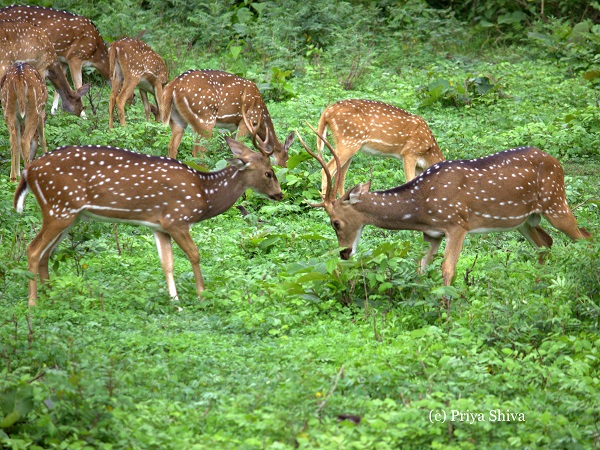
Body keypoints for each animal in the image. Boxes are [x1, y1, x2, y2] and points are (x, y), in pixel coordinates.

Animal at [14, 103, 282, 306]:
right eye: (269, 173)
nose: (279, 194)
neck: (204, 193)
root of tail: (29, 172)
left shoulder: (159, 225)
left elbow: (167, 263)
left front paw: (175, 302)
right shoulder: (177, 219)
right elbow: (194, 255)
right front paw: (201, 295)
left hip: (69, 213)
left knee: (46, 253)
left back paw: (51, 296)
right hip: (59, 208)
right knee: (33, 249)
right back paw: (33, 303)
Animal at [161, 71, 294, 166]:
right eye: (287, 160)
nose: (286, 169)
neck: (261, 114)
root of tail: (172, 86)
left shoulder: (231, 128)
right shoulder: (247, 121)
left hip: (177, 120)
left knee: (172, 147)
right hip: (204, 118)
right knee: (198, 153)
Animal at [298, 125, 592, 288]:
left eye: (335, 222)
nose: (345, 254)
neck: (420, 207)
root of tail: (557, 163)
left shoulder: (458, 223)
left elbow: (447, 270)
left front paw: (446, 312)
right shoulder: (432, 234)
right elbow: (419, 268)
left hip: (556, 202)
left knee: (584, 237)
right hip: (524, 220)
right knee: (546, 243)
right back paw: (540, 285)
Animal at [314, 99, 446, 194]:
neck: (429, 151)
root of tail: (327, 111)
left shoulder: (419, 165)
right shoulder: (409, 153)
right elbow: (409, 181)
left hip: (348, 144)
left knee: (341, 176)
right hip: (349, 141)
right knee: (327, 169)